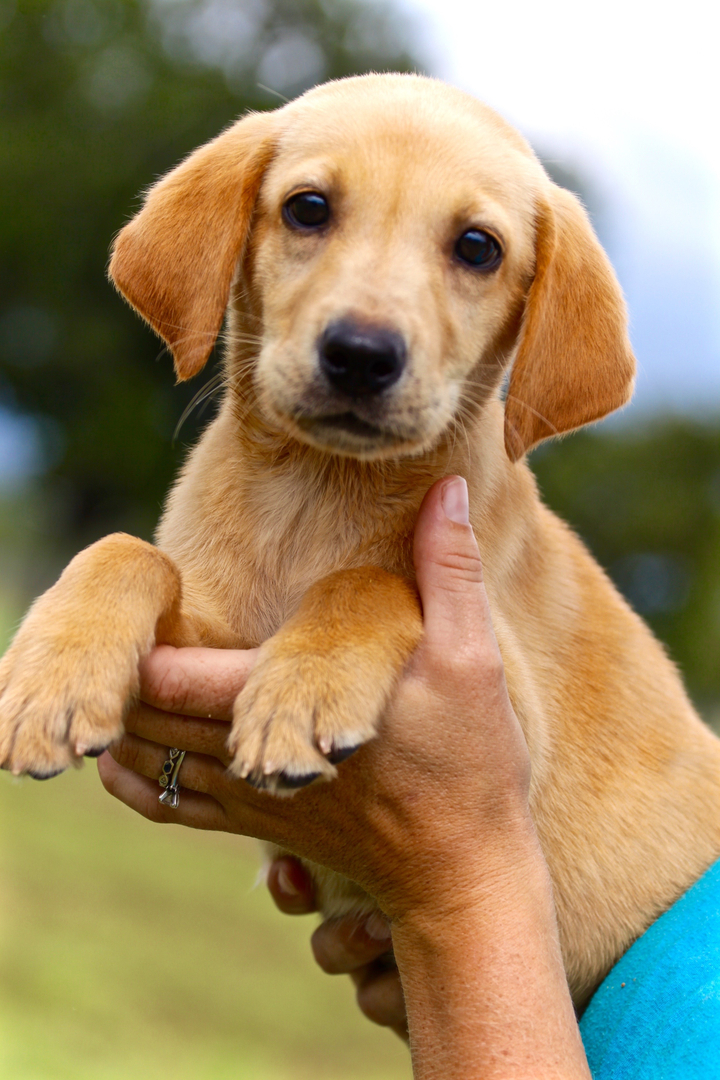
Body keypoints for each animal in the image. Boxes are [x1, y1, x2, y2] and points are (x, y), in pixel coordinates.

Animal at [1, 73, 720, 1002]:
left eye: (478, 248)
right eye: (308, 208)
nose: (362, 355)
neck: (315, 494)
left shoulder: (514, 714)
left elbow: (371, 581)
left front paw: (304, 692)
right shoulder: (213, 630)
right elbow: (124, 550)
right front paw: (51, 679)